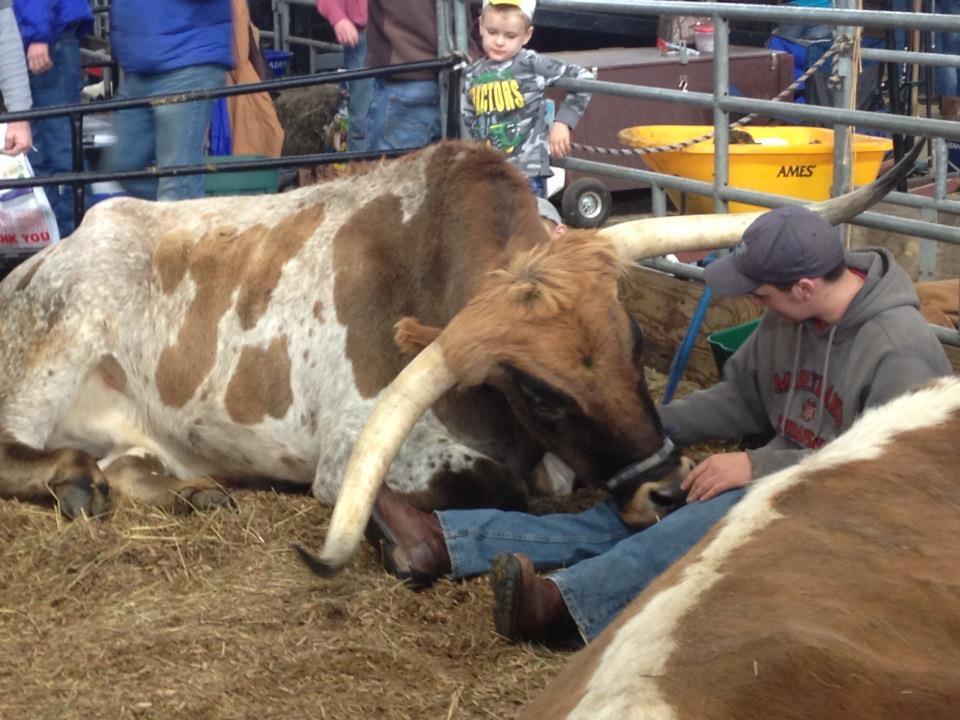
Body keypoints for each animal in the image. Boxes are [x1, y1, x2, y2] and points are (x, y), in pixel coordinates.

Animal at [0, 140, 916, 534]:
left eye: (635, 342)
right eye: (542, 394)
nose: (662, 491)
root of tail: (43, 259)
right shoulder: (357, 459)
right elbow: (511, 488)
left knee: (131, 466)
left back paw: (184, 490)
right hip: (56, 349)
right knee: (26, 453)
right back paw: (73, 479)